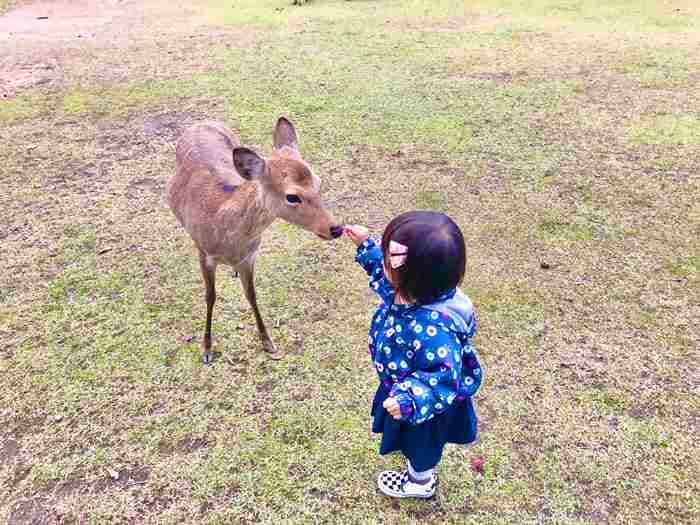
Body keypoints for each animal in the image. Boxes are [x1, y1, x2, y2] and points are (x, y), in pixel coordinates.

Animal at [170, 117, 344, 364]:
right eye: (292, 196)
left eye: (318, 183)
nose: (336, 228)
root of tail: (202, 122)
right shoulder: (204, 252)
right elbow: (210, 296)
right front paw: (207, 349)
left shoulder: (250, 256)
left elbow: (251, 295)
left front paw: (268, 342)